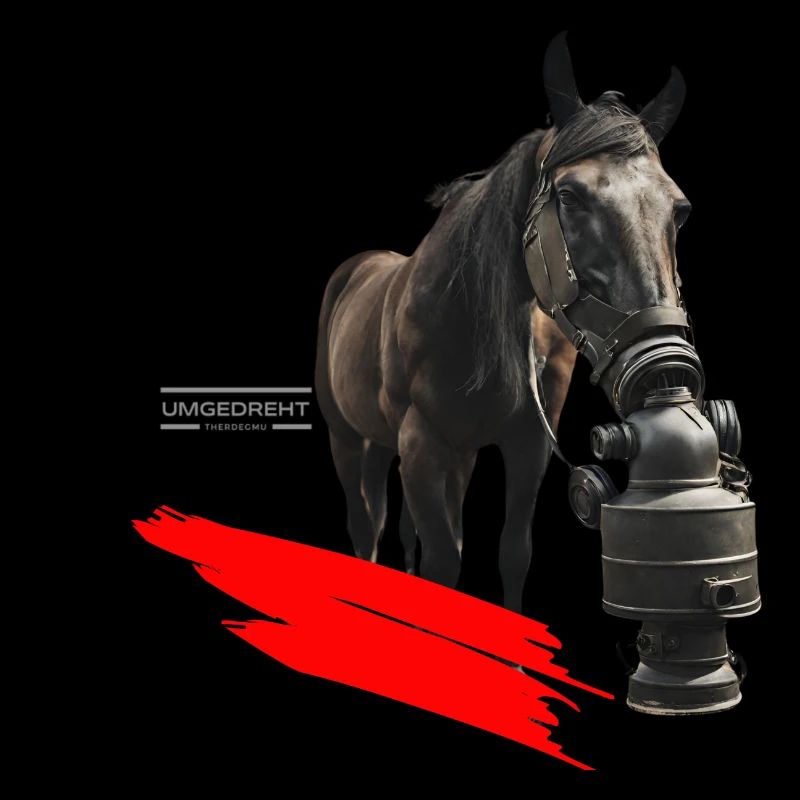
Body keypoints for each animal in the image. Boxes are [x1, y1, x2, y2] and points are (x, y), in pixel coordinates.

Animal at [314, 33, 689, 613]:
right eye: (569, 196)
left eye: (680, 210)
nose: (663, 363)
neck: (468, 315)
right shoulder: (421, 443)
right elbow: (442, 564)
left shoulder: (526, 447)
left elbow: (512, 553)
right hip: (347, 438)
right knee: (365, 528)